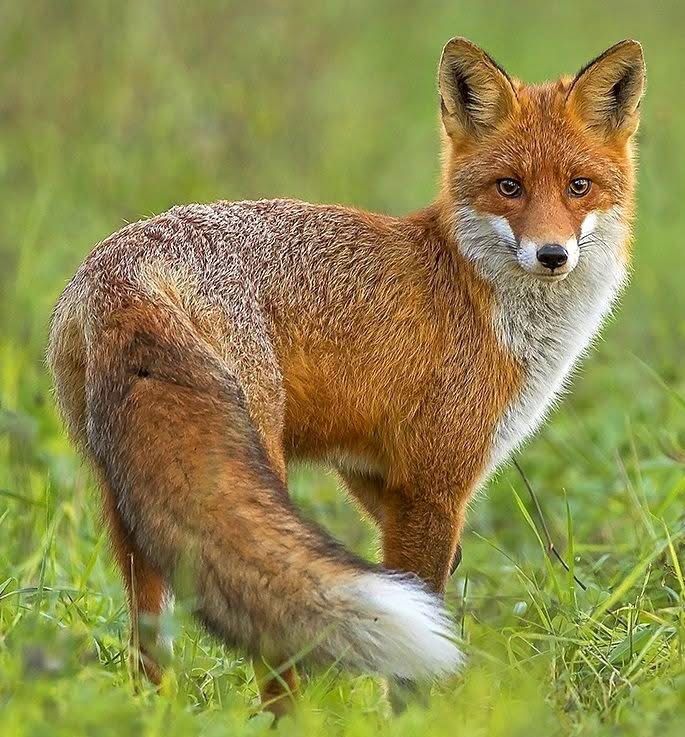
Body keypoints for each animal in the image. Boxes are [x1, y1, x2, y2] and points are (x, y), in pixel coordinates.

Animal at [48, 37, 645, 715]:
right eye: (509, 187)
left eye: (578, 186)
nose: (551, 255)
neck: (478, 296)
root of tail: (126, 273)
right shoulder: (432, 482)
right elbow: (425, 607)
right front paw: (419, 718)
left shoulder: (369, 470)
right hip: (251, 462)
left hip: (128, 503)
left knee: (149, 647)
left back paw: (156, 715)